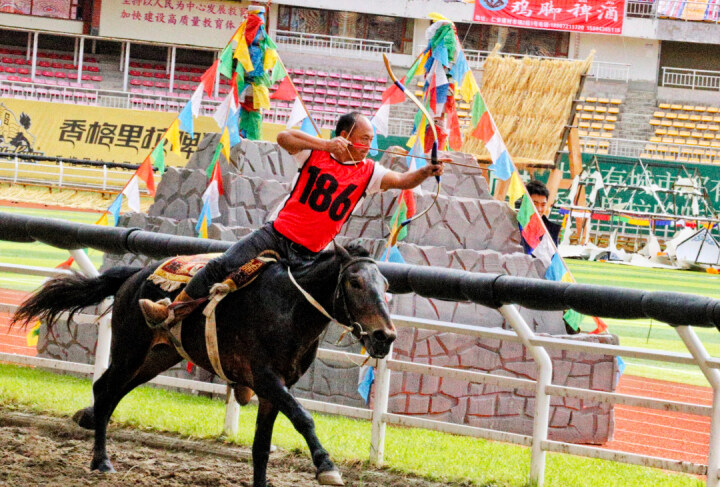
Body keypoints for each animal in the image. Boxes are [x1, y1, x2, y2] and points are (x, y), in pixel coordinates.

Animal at [12, 243, 396, 487]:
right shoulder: (266, 378)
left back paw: (90, 424)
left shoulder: (275, 390)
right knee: (104, 389)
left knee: (113, 392)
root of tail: (135, 275)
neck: (290, 307)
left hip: (157, 357)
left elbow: (261, 445)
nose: (385, 336)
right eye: (355, 281)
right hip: (130, 349)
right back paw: (101, 460)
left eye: (386, 285)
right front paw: (326, 466)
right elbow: (304, 417)